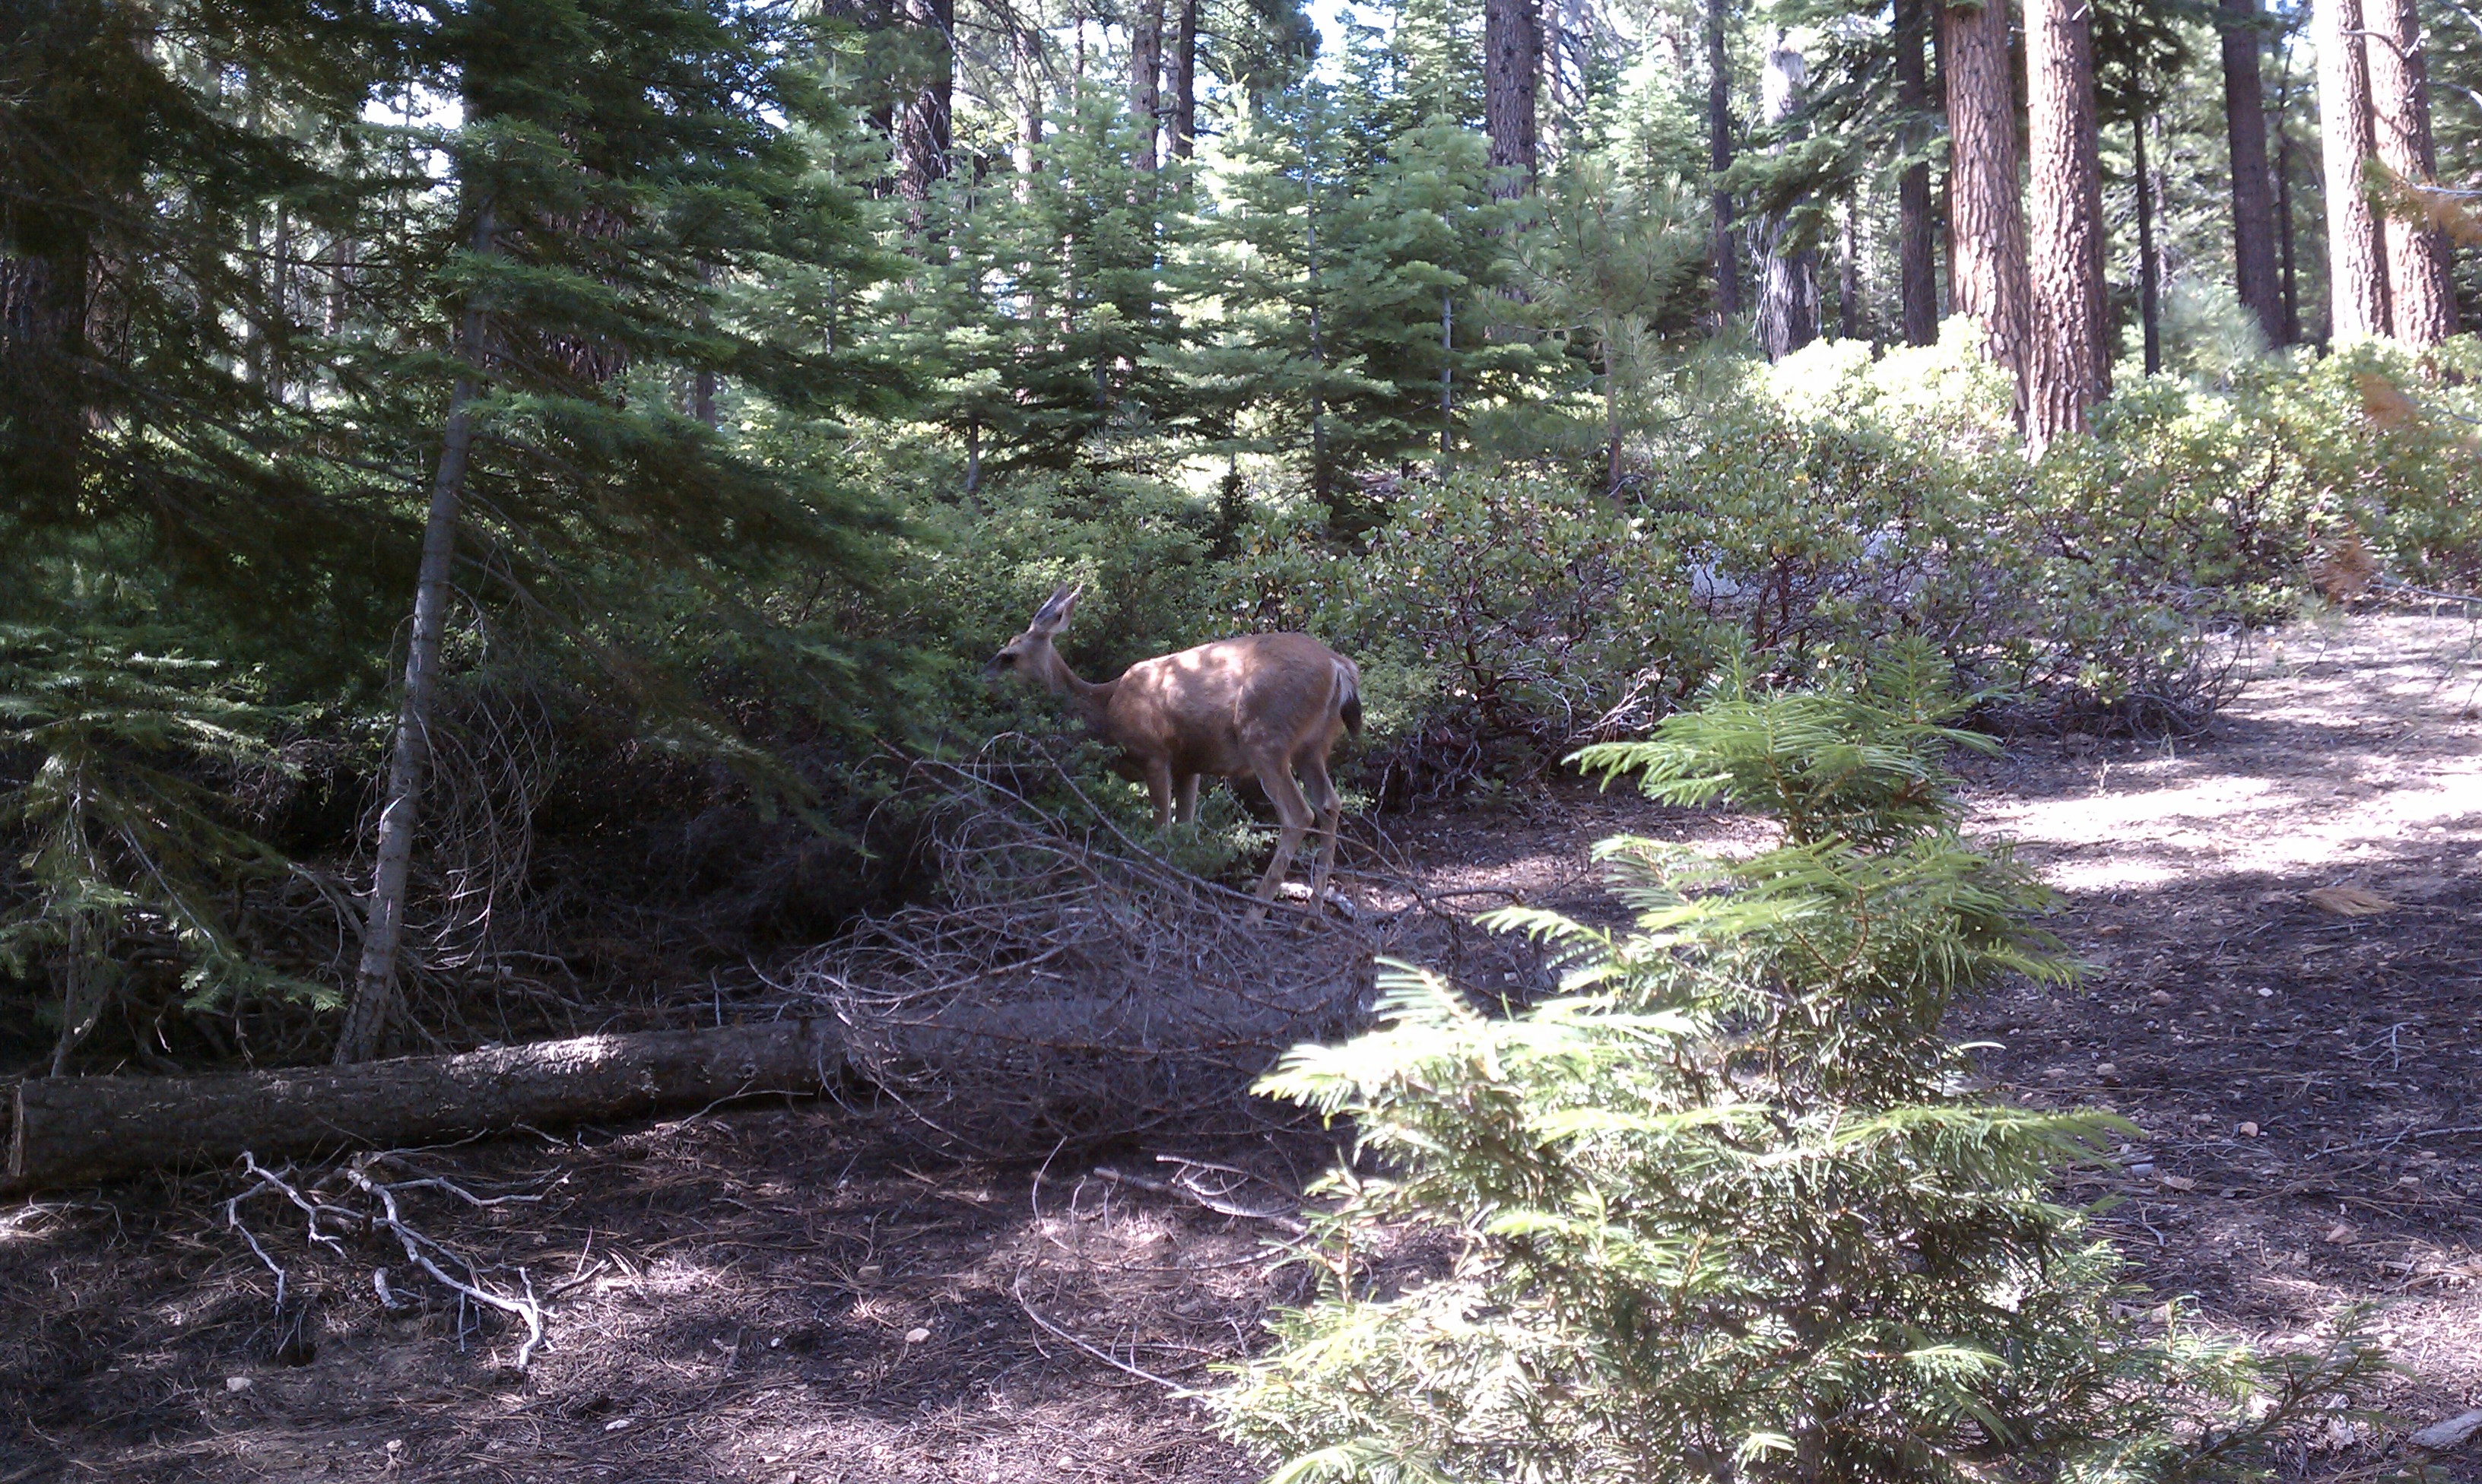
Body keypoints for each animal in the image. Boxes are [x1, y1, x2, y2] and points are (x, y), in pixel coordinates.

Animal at [984, 584, 1361, 921]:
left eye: (1008, 656)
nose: (982, 678)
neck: (1106, 709)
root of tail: (1339, 666)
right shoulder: (1188, 766)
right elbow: (1185, 829)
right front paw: (1188, 902)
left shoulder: (1154, 755)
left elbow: (1161, 832)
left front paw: (1167, 909)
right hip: (1312, 746)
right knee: (1329, 803)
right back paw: (1312, 916)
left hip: (1266, 737)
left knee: (1298, 815)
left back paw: (1254, 915)